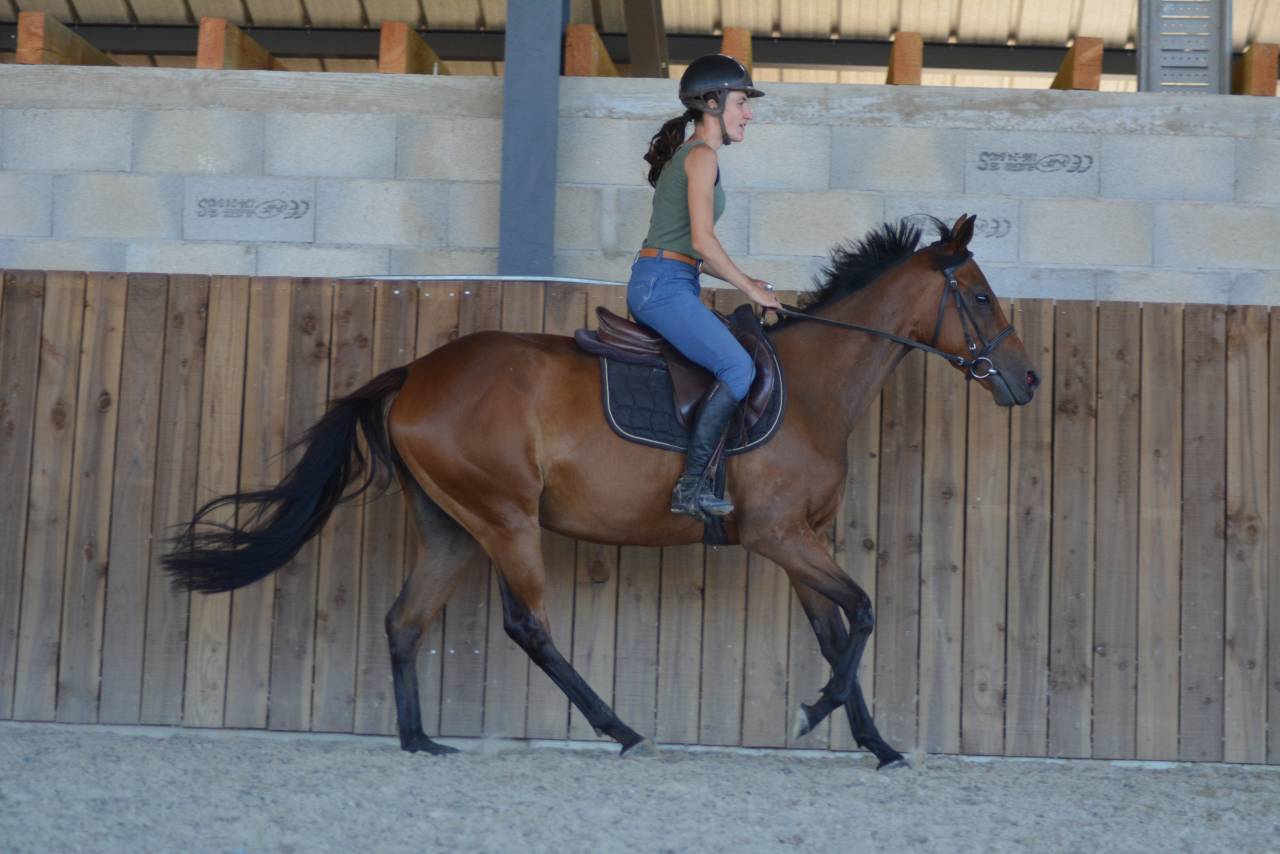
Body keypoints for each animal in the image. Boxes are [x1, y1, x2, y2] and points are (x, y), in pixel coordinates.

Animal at [165, 214, 1039, 769]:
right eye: (981, 296)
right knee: (529, 627)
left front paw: (876, 744)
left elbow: (838, 631)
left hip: (455, 527)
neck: (816, 386)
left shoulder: (804, 541)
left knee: (405, 620)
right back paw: (622, 731)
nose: (1026, 381)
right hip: (507, 520)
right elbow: (864, 613)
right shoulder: (779, 536)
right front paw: (815, 713)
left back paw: (420, 742)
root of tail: (413, 373)